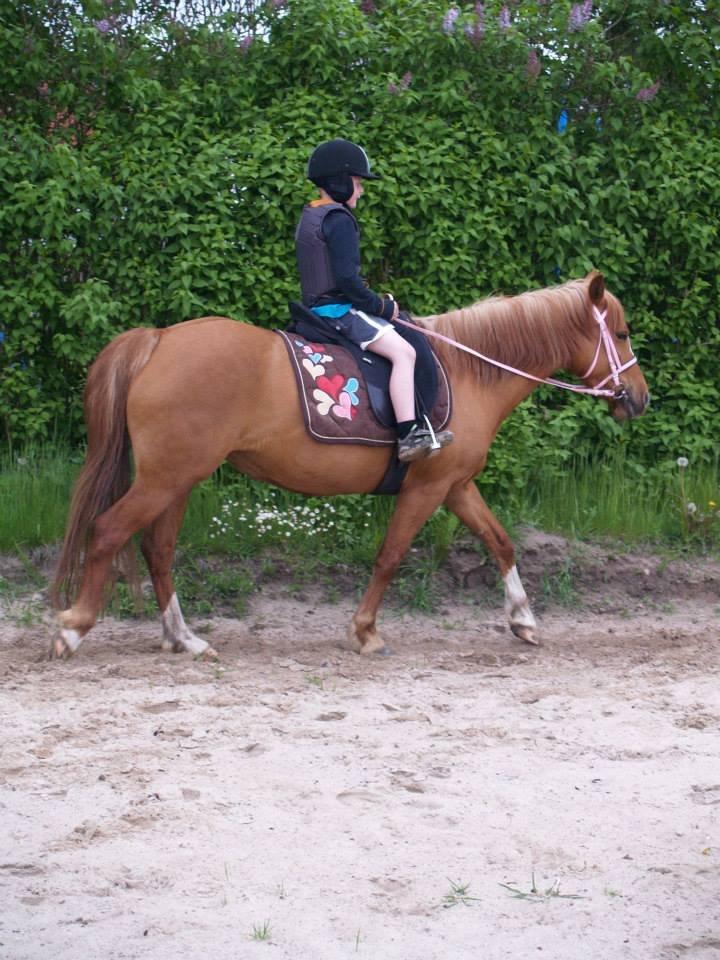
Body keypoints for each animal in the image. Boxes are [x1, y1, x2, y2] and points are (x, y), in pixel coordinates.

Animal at [49, 272, 648, 660]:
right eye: (620, 334)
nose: (639, 399)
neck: (468, 369)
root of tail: (157, 340)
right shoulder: (428, 486)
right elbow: (389, 556)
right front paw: (365, 632)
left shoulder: (454, 484)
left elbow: (500, 542)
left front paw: (522, 620)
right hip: (166, 477)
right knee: (109, 531)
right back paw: (74, 629)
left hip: (177, 478)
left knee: (158, 549)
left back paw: (183, 638)